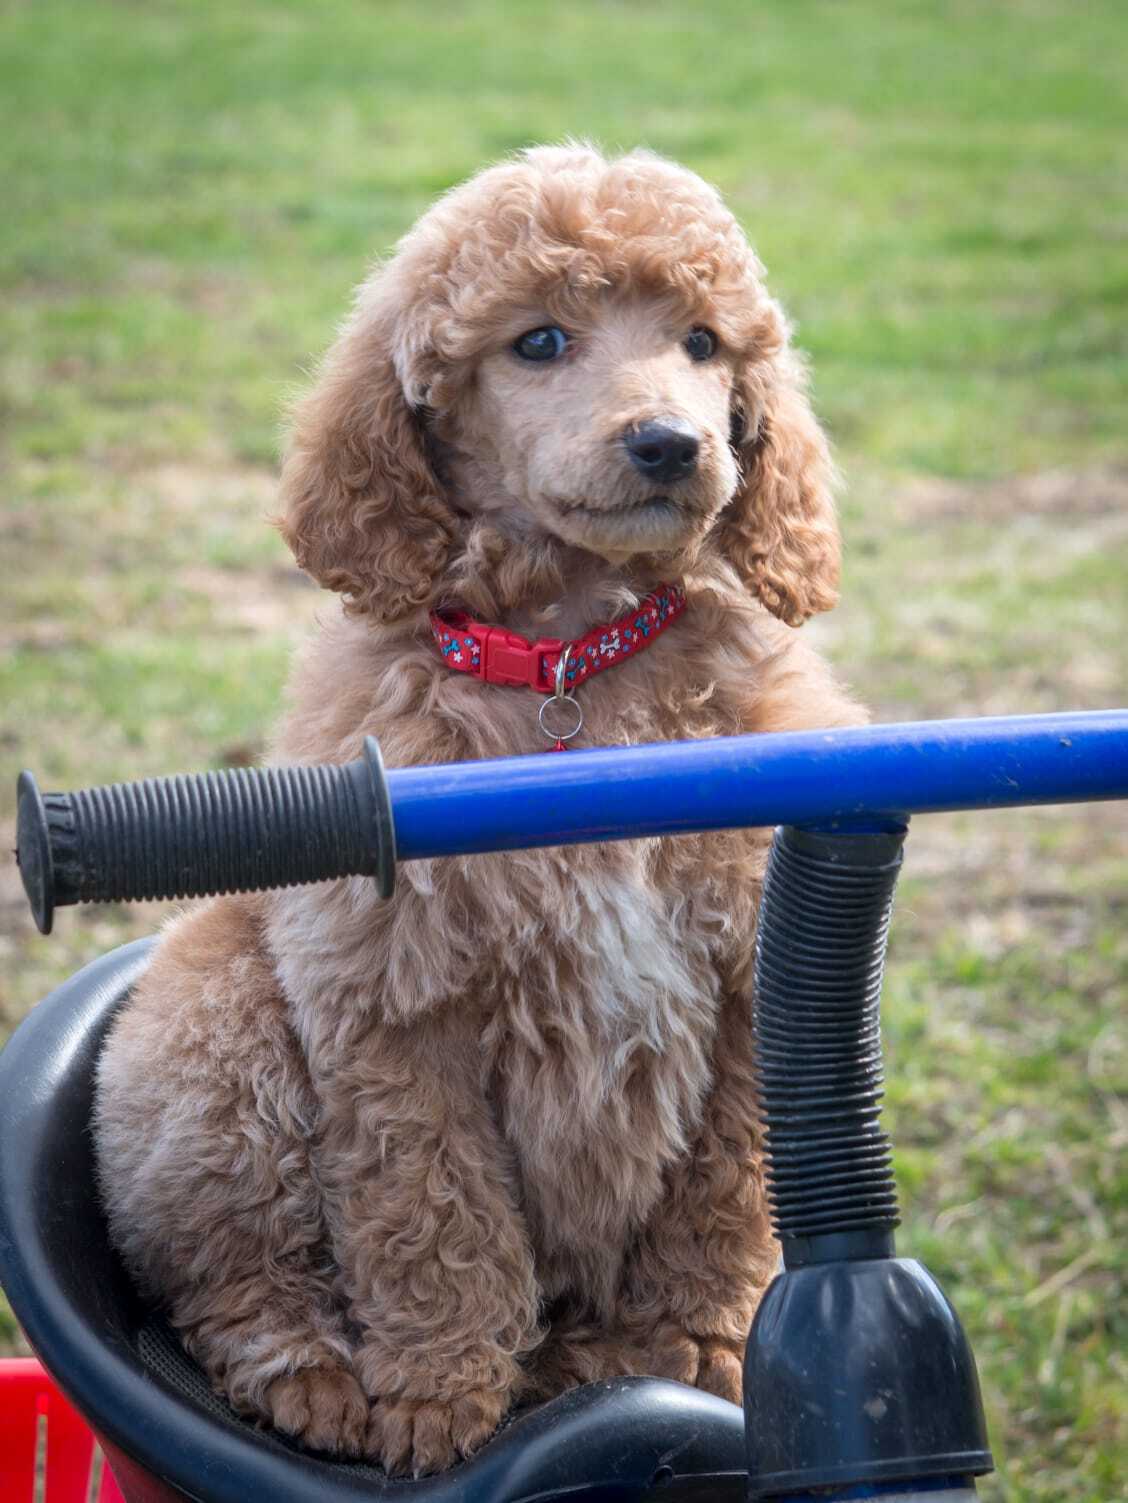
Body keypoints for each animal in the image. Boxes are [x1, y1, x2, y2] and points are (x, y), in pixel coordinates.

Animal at [95, 146, 866, 1472]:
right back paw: (314, 1378)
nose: (670, 444)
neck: (572, 664)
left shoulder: (747, 986)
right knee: (231, 1276)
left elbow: (726, 1185)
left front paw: (694, 1347)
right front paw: (438, 1395)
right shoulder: (395, 1006)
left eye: (704, 343)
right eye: (539, 342)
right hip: (214, 1019)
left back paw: (580, 1357)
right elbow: (429, 1211)